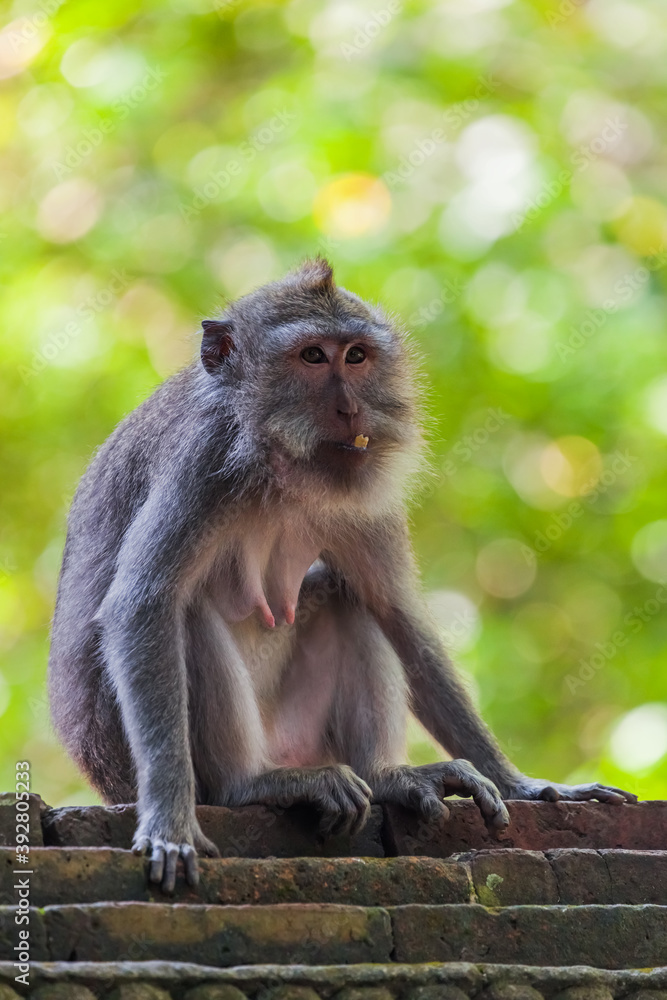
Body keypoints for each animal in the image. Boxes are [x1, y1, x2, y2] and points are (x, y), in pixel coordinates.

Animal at [48, 259, 636, 893]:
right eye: (312, 356)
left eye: (355, 356)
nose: (352, 410)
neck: (276, 462)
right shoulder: (201, 462)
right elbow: (144, 604)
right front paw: (170, 822)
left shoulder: (364, 488)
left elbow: (397, 612)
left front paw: (522, 782)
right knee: (189, 612)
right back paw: (246, 786)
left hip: (297, 735)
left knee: (344, 597)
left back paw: (384, 777)